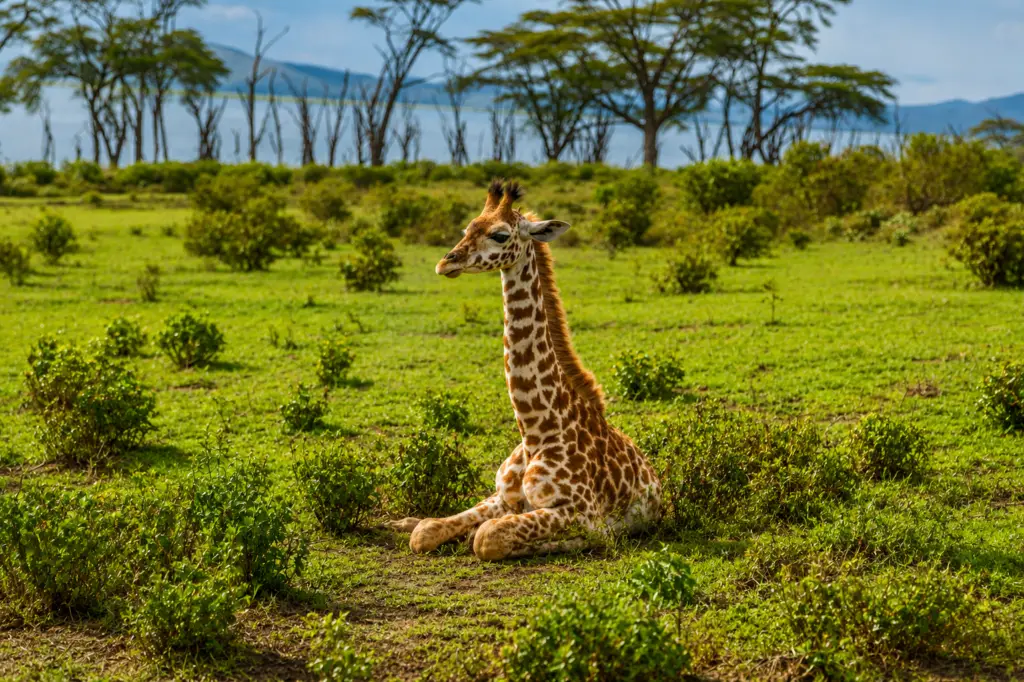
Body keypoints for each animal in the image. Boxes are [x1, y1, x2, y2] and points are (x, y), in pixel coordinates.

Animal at [394, 179, 661, 561]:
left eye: (500, 235)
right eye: (467, 229)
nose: (446, 262)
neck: (536, 431)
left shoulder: (580, 513)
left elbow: (488, 537)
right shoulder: (501, 496)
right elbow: (426, 531)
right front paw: (433, 527)